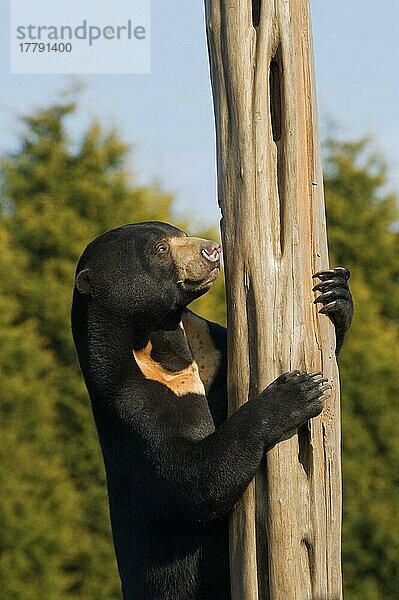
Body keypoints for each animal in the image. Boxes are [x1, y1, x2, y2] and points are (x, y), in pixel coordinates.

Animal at [71, 221, 354, 600]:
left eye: (180, 233)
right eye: (160, 249)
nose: (212, 250)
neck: (158, 343)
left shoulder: (211, 350)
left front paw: (336, 293)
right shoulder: (132, 405)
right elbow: (190, 478)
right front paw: (296, 392)